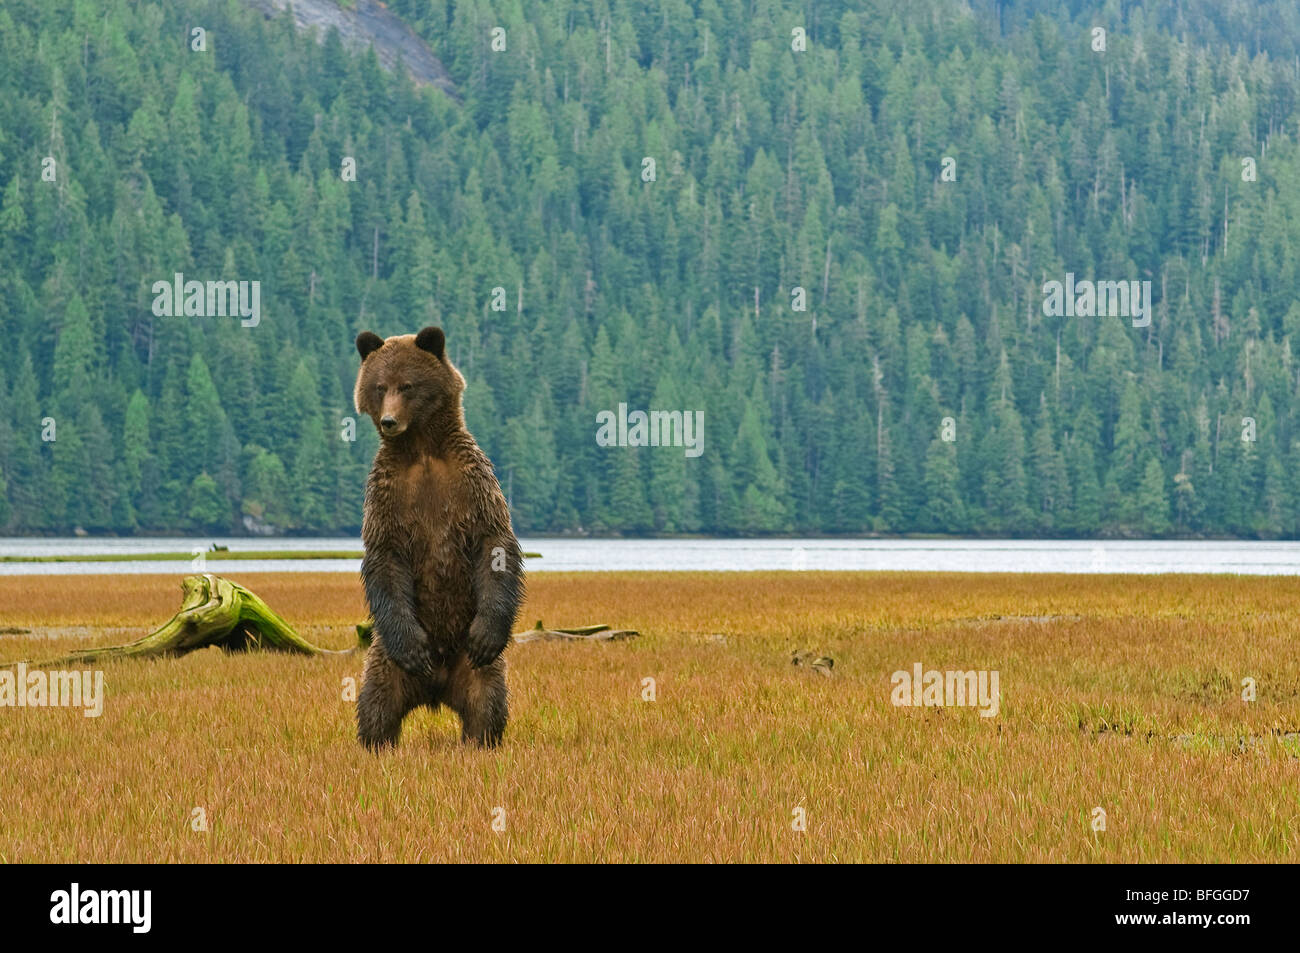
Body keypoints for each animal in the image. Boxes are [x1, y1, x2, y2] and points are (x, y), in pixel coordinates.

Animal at [352, 326, 524, 749]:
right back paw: (377, 743)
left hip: (479, 669)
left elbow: (495, 543)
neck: (422, 450)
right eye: (379, 386)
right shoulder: (388, 495)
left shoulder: (471, 483)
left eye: (408, 385)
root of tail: (435, 690)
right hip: (384, 659)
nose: (390, 421)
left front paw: (487, 635)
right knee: (376, 703)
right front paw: (414, 649)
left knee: (487, 704)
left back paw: (480, 740)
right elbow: (384, 556)